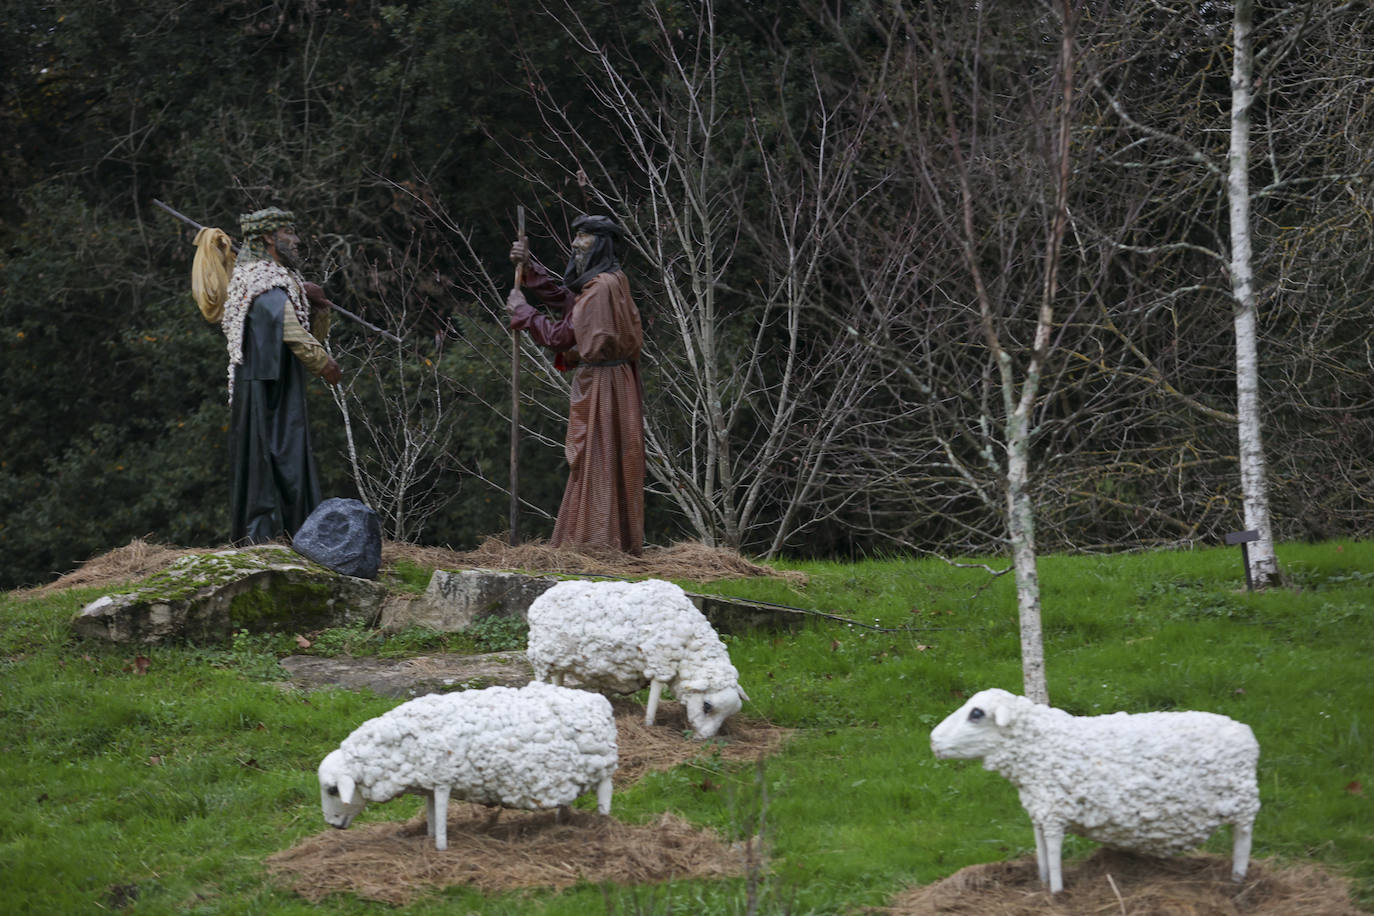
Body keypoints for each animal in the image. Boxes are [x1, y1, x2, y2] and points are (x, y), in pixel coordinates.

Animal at [316, 681, 618, 851]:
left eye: (332, 790)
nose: (332, 825)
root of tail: (600, 702)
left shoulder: (442, 781)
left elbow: (440, 819)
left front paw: (441, 848)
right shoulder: (429, 782)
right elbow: (430, 814)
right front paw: (428, 837)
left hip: (604, 771)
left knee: (604, 800)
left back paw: (603, 829)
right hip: (566, 775)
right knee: (564, 801)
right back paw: (561, 824)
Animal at [522, 579, 747, 736]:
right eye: (707, 706)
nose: (705, 738)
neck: (689, 642)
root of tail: (542, 598)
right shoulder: (660, 663)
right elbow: (654, 697)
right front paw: (648, 724)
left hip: (558, 655)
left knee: (558, 677)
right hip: (542, 655)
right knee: (544, 678)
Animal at [928, 686, 1258, 895]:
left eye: (976, 714)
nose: (932, 741)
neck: (1039, 747)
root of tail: (1247, 734)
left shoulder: (1054, 815)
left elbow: (1054, 853)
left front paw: (1057, 894)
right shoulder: (1040, 811)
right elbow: (1041, 852)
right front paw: (1042, 884)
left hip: (1243, 804)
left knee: (1243, 840)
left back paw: (1238, 880)